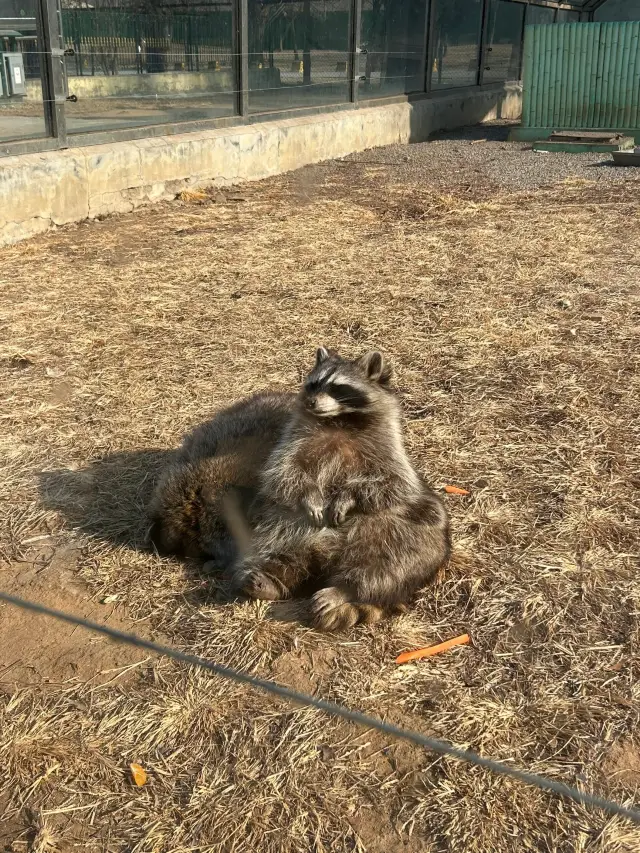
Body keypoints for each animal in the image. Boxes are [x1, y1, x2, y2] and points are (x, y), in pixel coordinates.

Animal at [230, 344, 450, 624]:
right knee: (276, 532)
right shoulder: (293, 441)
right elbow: (283, 473)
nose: (311, 402)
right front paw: (310, 495)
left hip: (407, 532)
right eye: (313, 384)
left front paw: (348, 497)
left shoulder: (388, 447)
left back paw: (348, 588)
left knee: (395, 553)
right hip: (286, 526)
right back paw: (270, 577)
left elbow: (393, 483)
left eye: (338, 387)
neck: (338, 421)